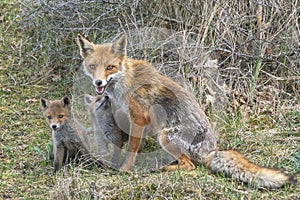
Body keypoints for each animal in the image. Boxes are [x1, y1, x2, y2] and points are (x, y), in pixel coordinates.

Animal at [77, 33, 296, 188]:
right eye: (93, 66)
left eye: (110, 67)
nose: (98, 83)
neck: (124, 81)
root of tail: (210, 151)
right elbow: (134, 146)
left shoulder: (139, 118)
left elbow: (131, 150)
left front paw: (124, 170)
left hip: (164, 136)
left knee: (189, 166)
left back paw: (163, 168)